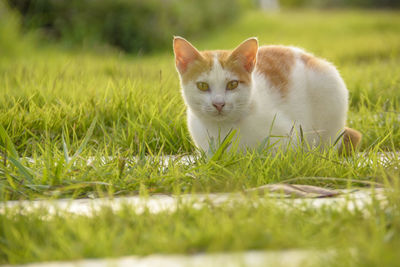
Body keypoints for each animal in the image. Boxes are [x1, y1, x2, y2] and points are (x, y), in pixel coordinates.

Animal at [173, 37, 360, 155]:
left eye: (232, 84)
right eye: (202, 86)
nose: (219, 103)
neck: (223, 128)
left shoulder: (287, 137)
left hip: (330, 88)